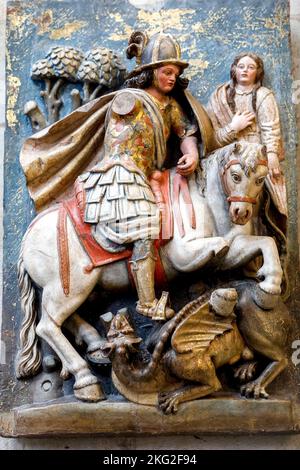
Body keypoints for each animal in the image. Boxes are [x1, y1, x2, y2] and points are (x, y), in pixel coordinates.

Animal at [16, 141, 284, 402]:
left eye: (260, 179)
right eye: (236, 176)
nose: (242, 213)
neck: (204, 203)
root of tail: (28, 237)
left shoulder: (228, 252)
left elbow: (263, 242)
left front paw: (270, 284)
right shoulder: (186, 255)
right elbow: (222, 245)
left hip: (79, 289)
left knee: (66, 319)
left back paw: (97, 346)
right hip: (68, 288)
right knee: (47, 326)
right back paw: (87, 381)